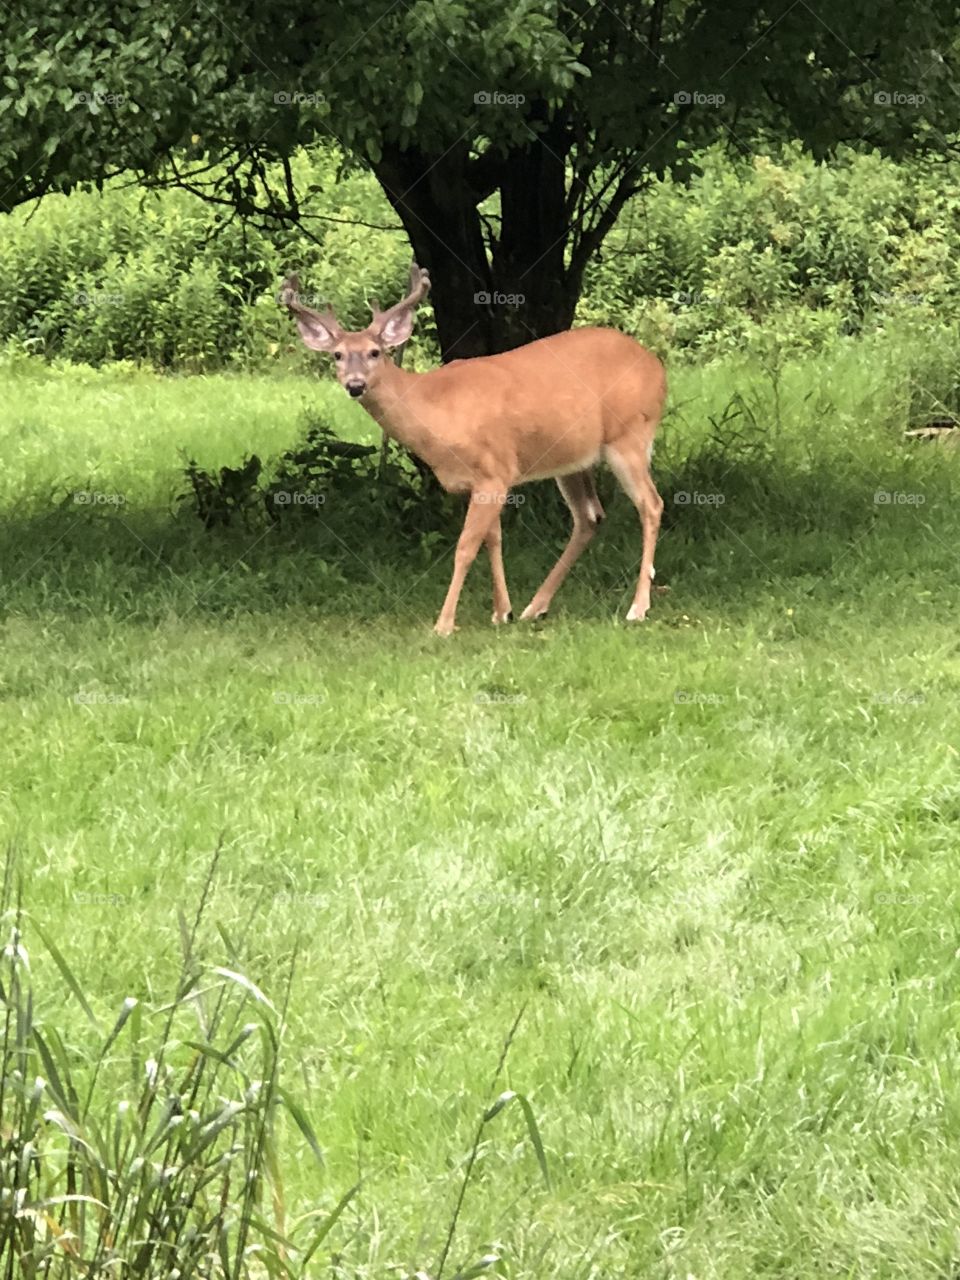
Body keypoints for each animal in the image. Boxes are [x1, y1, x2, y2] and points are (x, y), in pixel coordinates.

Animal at [281, 264, 665, 634]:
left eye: (375, 352)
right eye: (338, 355)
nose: (355, 385)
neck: (433, 411)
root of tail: (657, 366)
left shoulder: (494, 470)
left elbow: (466, 546)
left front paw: (444, 624)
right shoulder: (480, 481)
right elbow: (492, 539)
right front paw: (501, 612)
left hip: (629, 436)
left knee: (651, 504)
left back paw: (637, 608)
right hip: (572, 459)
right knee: (589, 516)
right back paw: (534, 608)